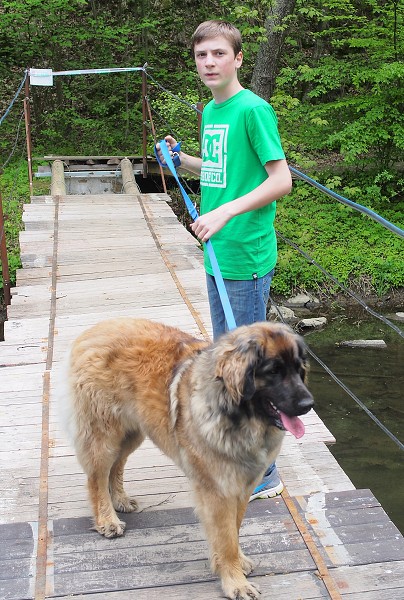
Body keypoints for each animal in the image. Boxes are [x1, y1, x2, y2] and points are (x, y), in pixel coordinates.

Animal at [59, 316, 312, 596]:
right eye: (274, 371)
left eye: (298, 370)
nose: (308, 404)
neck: (237, 416)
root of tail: (93, 330)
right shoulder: (218, 492)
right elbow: (226, 539)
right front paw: (235, 582)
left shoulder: (242, 487)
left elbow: (233, 531)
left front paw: (233, 562)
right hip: (104, 435)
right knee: (96, 478)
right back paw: (107, 519)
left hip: (132, 432)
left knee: (117, 465)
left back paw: (120, 499)